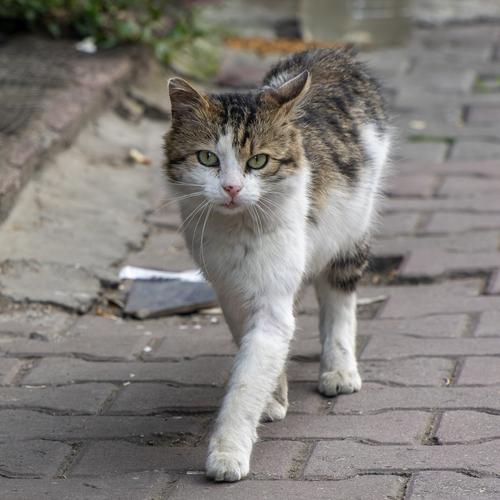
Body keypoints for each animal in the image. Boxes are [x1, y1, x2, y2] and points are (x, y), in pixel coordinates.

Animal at [164, 48, 390, 482]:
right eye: (207, 158)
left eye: (258, 161)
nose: (231, 188)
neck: (238, 230)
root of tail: (328, 53)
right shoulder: (228, 289)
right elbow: (251, 350)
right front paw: (272, 397)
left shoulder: (272, 296)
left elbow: (246, 381)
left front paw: (228, 453)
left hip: (351, 232)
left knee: (339, 302)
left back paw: (339, 370)